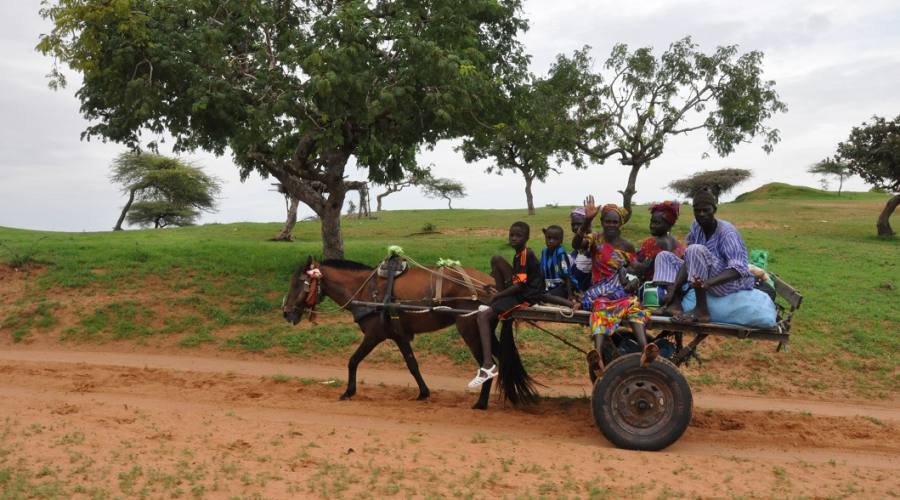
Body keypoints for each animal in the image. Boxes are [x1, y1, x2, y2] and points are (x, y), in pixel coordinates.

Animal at [282, 256, 536, 408]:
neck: (365, 291)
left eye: (298, 283)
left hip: (470, 330)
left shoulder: (374, 335)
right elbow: (412, 364)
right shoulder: (398, 335)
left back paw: (482, 402)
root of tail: (492, 286)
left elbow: (352, 361)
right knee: (503, 359)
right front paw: (423, 392)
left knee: (488, 363)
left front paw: (349, 391)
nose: (286, 312)